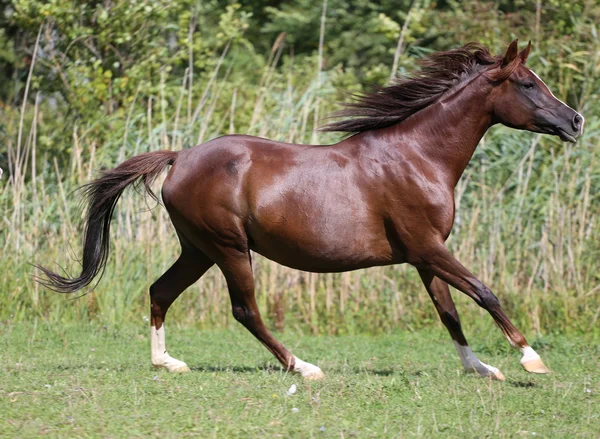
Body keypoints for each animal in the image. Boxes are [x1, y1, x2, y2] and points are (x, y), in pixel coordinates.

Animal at [37, 41, 580, 382]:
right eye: (528, 84)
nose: (575, 121)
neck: (419, 156)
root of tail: (181, 157)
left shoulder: (424, 255)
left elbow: (448, 313)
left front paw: (483, 369)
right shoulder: (428, 247)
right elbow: (485, 293)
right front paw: (531, 360)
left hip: (198, 249)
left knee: (160, 291)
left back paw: (168, 364)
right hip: (229, 248)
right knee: (244, 310)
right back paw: (304, 367)